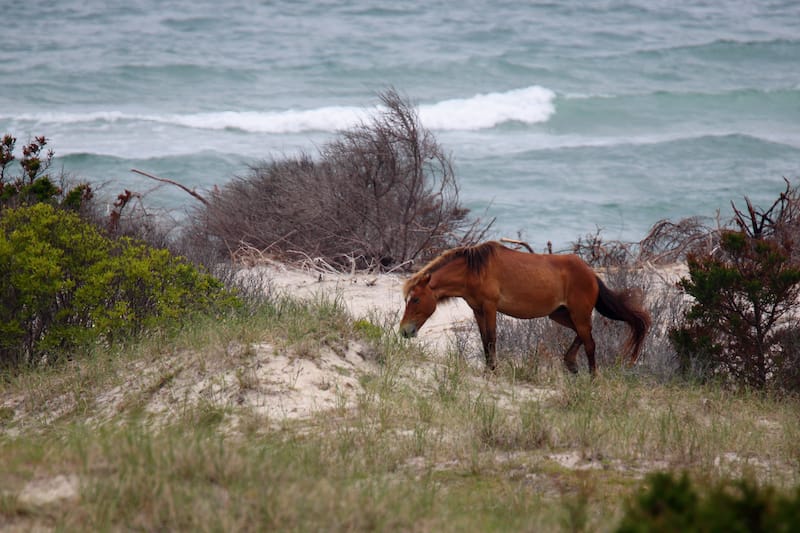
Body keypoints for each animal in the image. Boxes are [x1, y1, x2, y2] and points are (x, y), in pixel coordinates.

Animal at [398, 241, 648, 374]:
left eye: (416, 299)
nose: (404, 331)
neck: (474, 270)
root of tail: (592, 274)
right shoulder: (478, 310)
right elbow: (484, 340)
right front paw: (489, 369)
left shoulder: (490, 307)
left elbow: (491, 339)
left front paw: (493, 371)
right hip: (559, 315)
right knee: (583, 335)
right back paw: (570, 363)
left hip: (578, 313)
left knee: (590, 344)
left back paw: (592, 378)